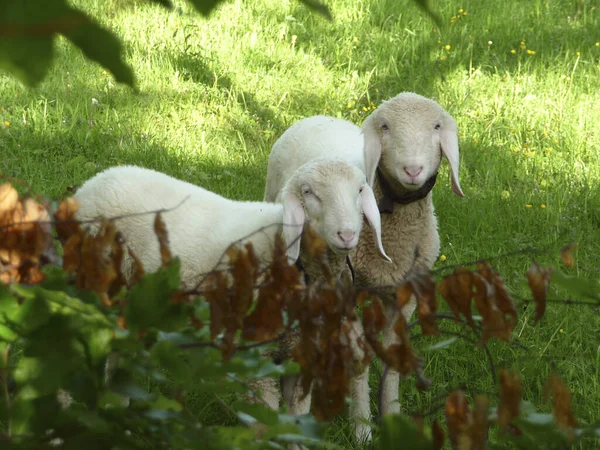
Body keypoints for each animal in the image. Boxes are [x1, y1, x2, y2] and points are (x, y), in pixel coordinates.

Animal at [264, 90, 466, 440]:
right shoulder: (347, 291)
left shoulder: (404, 295)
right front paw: (361, 428)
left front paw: (393, 419)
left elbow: (394, 355)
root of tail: (315, 116)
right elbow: (359, 357)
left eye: (437, 126)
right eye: (384, 127)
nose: (412, 169)